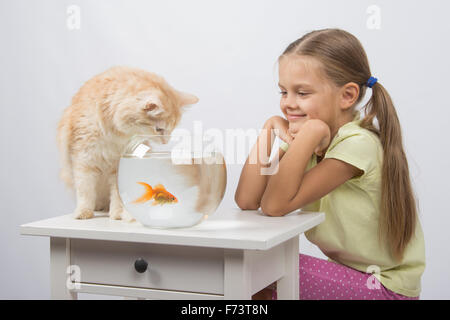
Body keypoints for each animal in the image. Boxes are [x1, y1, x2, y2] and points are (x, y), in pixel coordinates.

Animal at [56, 65, 199, 220]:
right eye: (159, 129)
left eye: (172, 128)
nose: (166, 142)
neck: (112, 132)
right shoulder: (83, 159)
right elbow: (85, 190)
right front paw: (83, 212)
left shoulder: (116, 166)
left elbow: (117, 195)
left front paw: (117, 214)